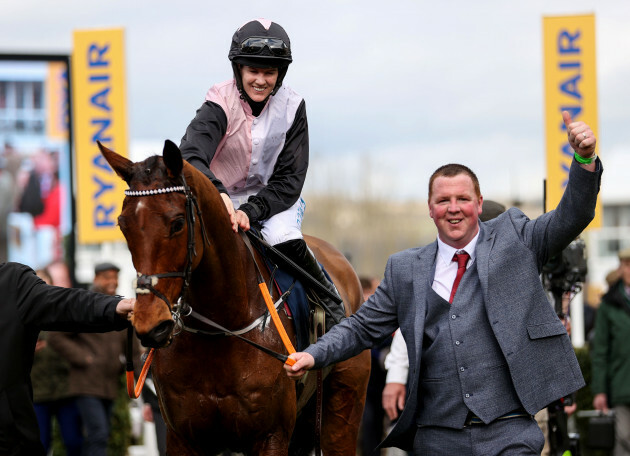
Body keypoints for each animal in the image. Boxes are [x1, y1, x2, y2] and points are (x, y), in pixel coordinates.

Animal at [99, 141, 372, 454]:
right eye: (122, 225)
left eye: (177, 223)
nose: (150, 324)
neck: (222, 328)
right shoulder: (183, 437)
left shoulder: (271, 436)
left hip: (343, 408)